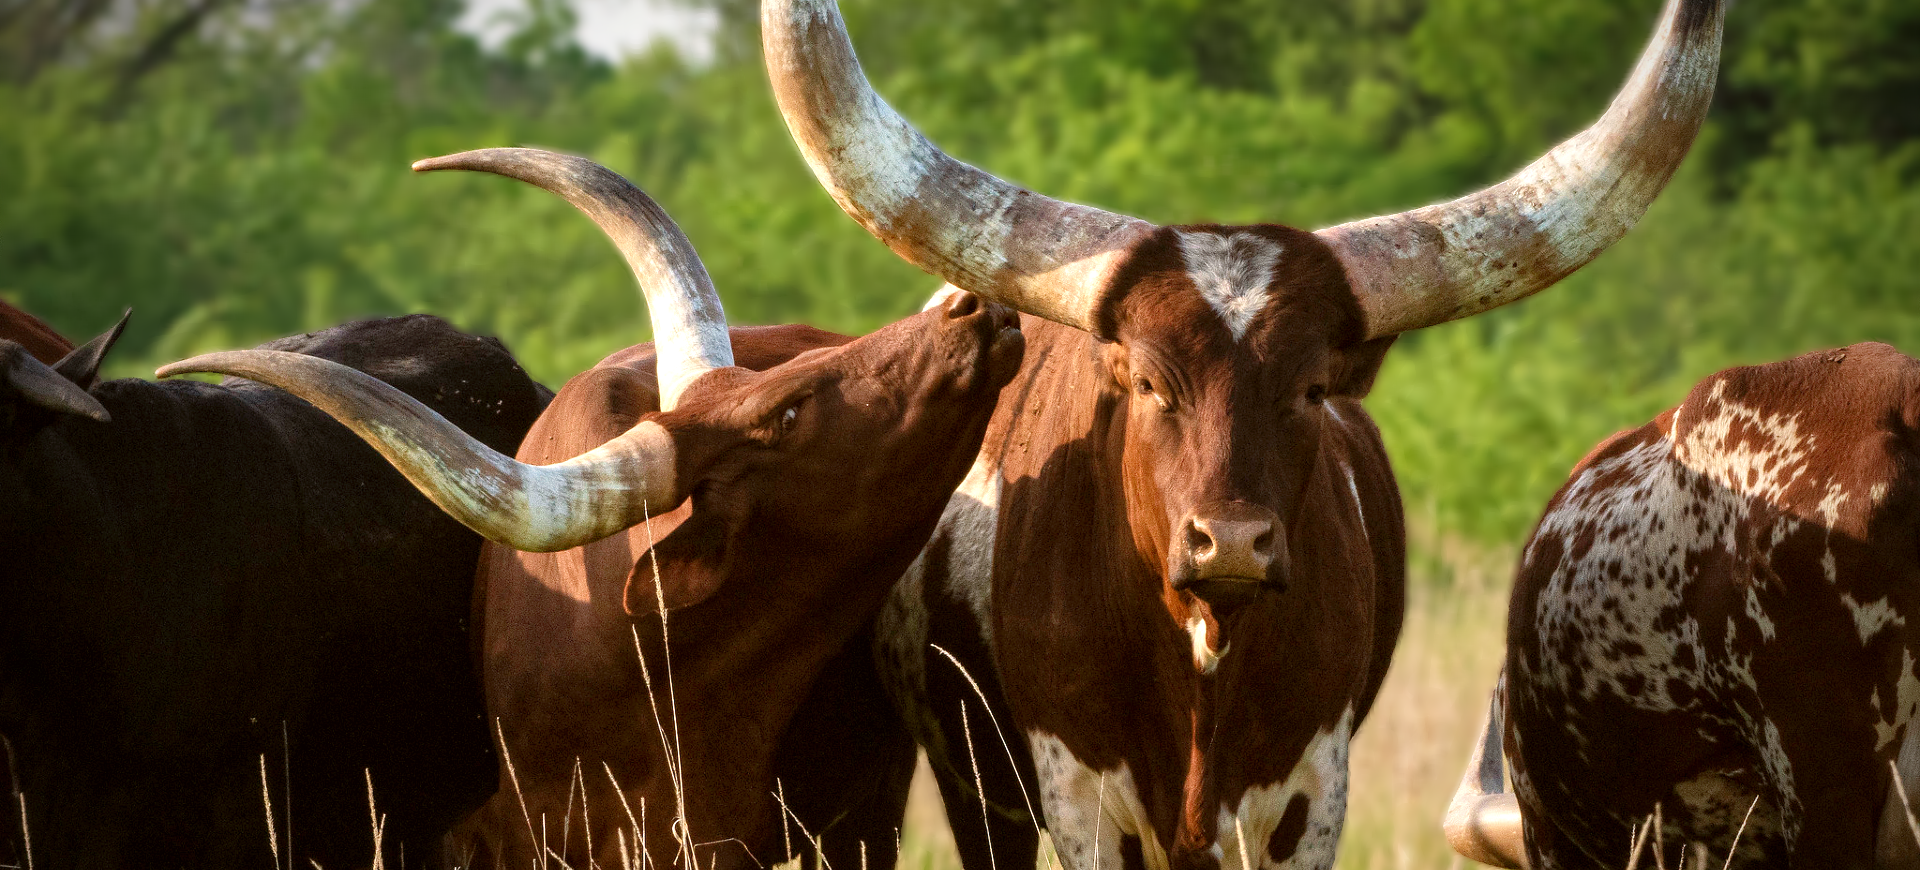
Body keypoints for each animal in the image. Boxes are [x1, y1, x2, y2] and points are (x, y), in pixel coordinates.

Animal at [760, 1, 1728, 868]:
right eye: (1147, 381)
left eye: (1311, 388)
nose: (1229, 542)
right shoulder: (1079, 794)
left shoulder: (1307, 791)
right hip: (973, 782)